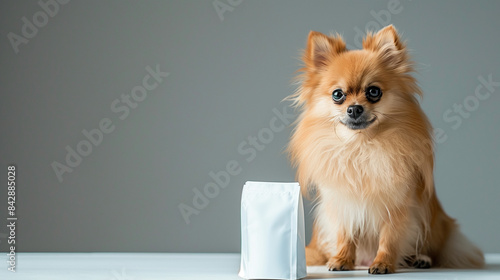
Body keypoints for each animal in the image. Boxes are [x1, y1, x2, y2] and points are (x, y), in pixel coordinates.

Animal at [288, 24, 486, 274]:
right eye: (337, 95)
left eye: (373, 92)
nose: (354, 108)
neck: (361, 146)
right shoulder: (342, 204)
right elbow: (345, 234)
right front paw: (342, 259)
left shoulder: (398, 207)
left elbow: (389, 238)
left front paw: (383, 263)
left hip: (435, 223)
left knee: (431, 248)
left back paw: (420, 259)